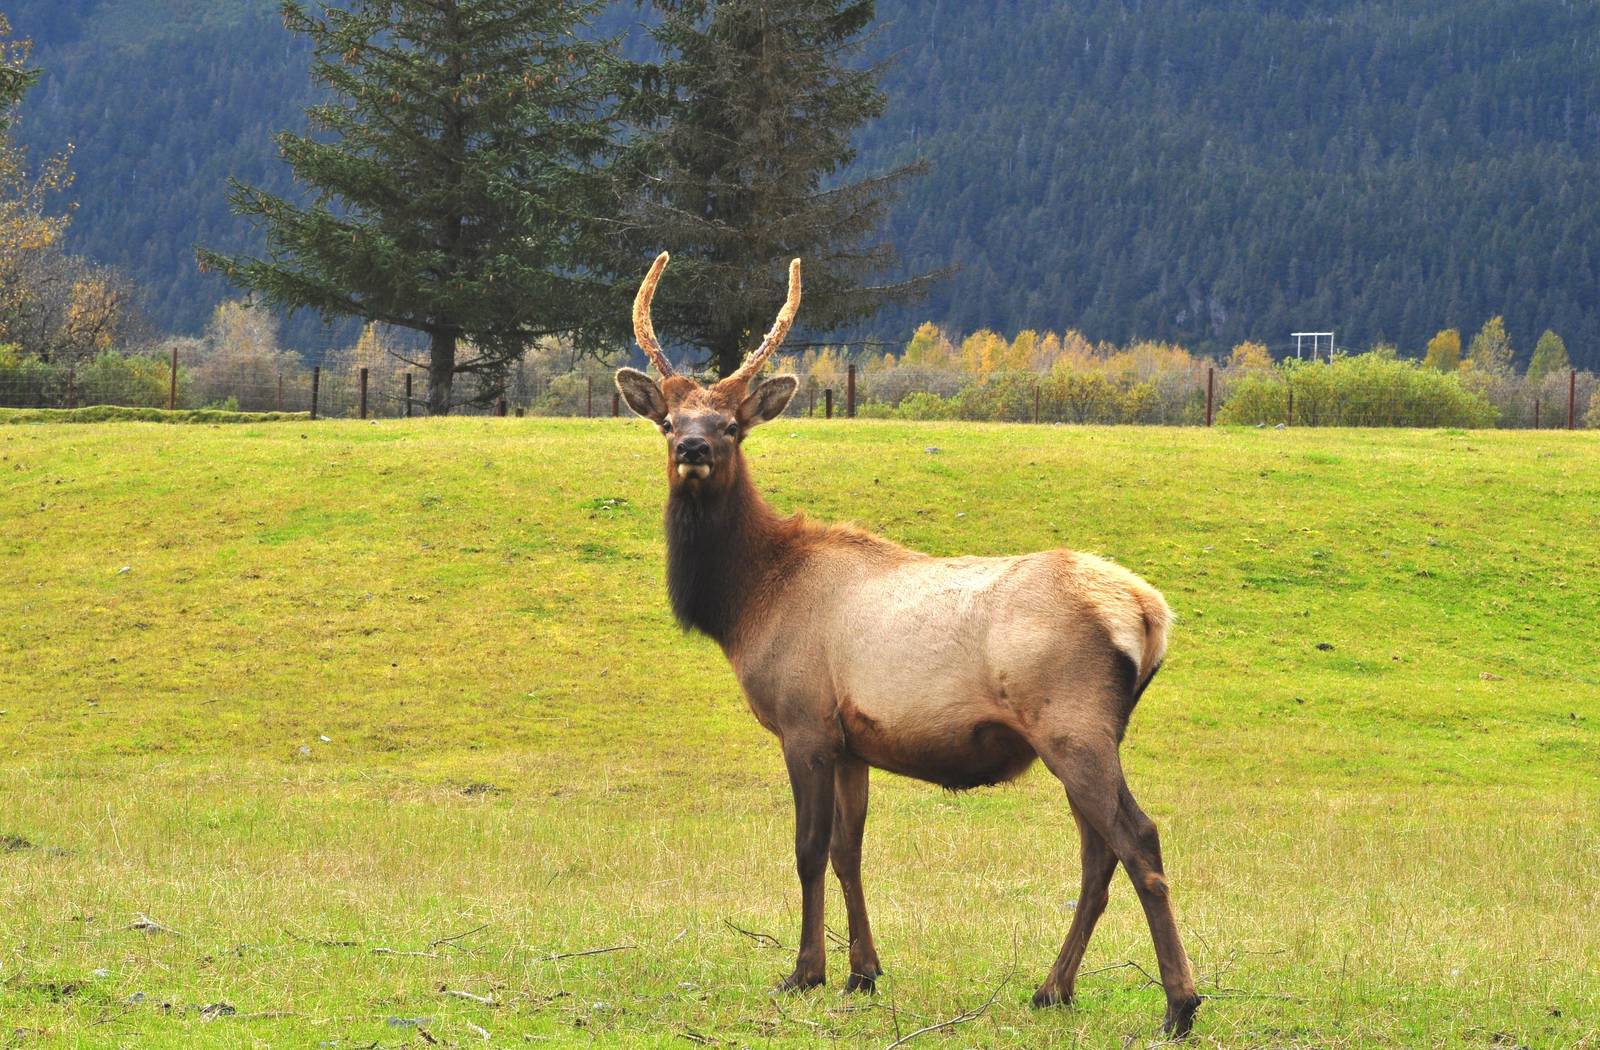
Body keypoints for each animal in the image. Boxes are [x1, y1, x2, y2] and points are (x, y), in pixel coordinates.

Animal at [613, 252, 1202, 1038]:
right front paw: (863, 972)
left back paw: (1179, 1004)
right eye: (667, 422)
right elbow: (848, 852)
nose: (693, 449)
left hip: (1070, 723)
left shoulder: (803, 722)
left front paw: (804, 972)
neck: (746, 602)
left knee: (1138, 839)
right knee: (1096, 852)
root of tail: (1149, 613)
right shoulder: (852, 742)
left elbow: (806, 850)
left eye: (733, 425)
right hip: (1094, 732)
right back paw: (1052, 988)